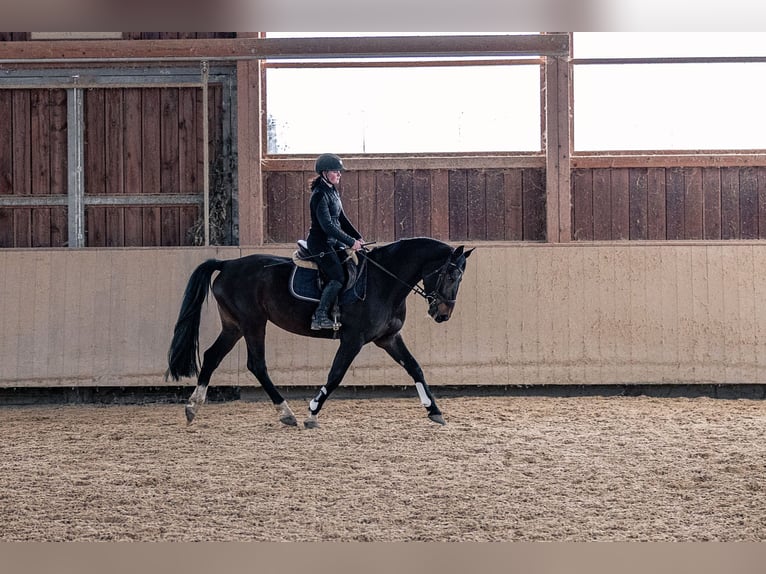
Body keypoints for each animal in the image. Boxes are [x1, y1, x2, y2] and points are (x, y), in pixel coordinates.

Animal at [166, 236, 474, 430]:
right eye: (450, 274)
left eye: (460, 277)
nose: (442, 314)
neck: (384, 281)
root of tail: (228, 264)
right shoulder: (353, 340)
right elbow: (336, 374)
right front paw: (313, 411)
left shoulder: (388, 338)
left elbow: (415, 367)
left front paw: (434, 410)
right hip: (253, 323)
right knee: (256, 365)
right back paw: (287, 413)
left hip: (234, 326)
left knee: (211, 356)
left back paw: (193, 407)